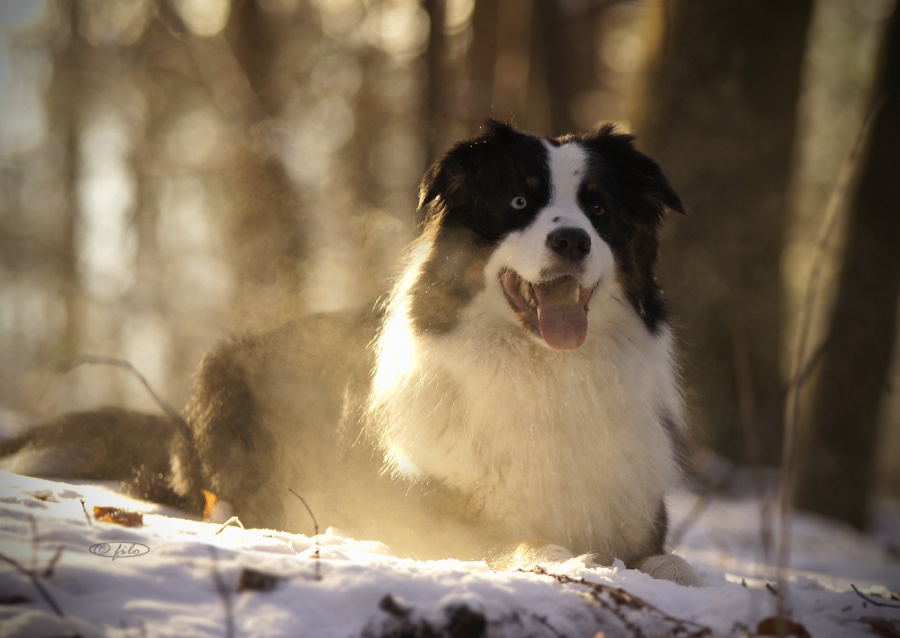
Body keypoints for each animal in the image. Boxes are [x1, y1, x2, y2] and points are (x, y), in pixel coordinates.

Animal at [0, 122, 704, 588]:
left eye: (599, 209)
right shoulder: (417, 511)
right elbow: (523, 537)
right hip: (222, 378)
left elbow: (674, 560)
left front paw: (674, 574)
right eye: (519, 202)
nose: (572, 241)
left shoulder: (639, 513)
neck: (546, 376)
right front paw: (572, 559)